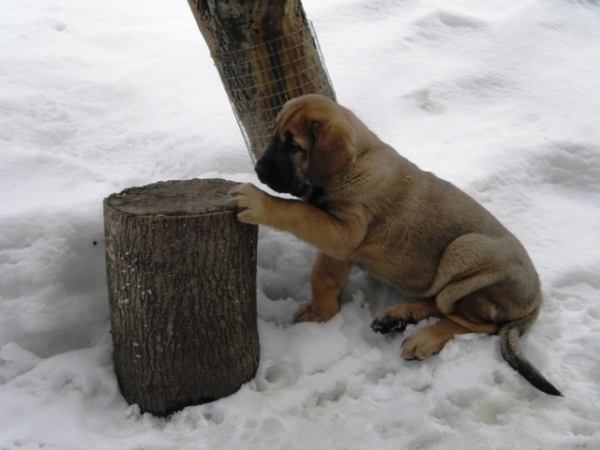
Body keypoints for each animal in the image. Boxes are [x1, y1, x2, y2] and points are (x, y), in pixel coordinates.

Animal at [229, 93, 564, 396]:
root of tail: (536, 300)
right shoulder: (339, 242)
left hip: (466, 248)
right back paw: (399, 316)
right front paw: (321, 314)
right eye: (274, 137)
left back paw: (423, 338)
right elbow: (323, 277)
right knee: (440, 303)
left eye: (294, 147)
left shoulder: (343, 231)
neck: (355, 165)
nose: (259, 171)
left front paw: (257, 202)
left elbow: (296, 211)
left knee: (476, 324)